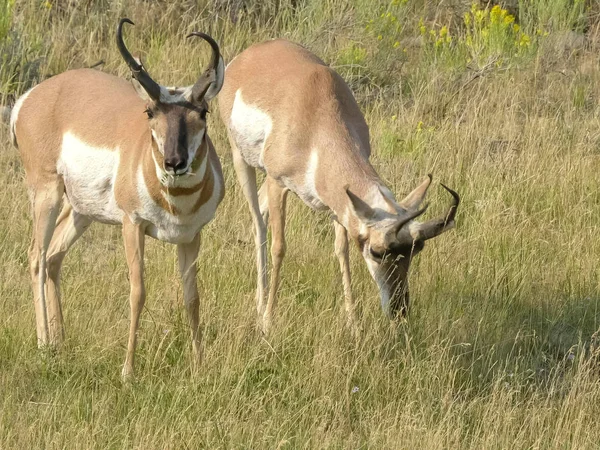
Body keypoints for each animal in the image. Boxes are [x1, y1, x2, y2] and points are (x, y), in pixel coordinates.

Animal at [9, 18, 225, 376]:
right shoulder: (132, 225)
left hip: (80, 211)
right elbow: (138, 292)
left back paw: (60, 342)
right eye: (150, 111)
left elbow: (192, 297)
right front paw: (128, 371)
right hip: (47, 194)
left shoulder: (191, 236)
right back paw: (43, 345)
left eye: (203, 112)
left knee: (53, 256)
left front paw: (199, 367)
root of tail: (33, 96)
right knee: (36, 257)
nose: (174, 162)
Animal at [220, 39, 460, 334]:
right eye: (377, 252)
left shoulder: (340, 202)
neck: (316, 116)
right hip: (241, 161)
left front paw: (353, 323)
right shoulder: (279, 184)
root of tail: (251, 53)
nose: (399, 310)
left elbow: (341, 251)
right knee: (258, 224)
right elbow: (279, 248)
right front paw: (268, 322)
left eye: (416, 250)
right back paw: (260, 305)